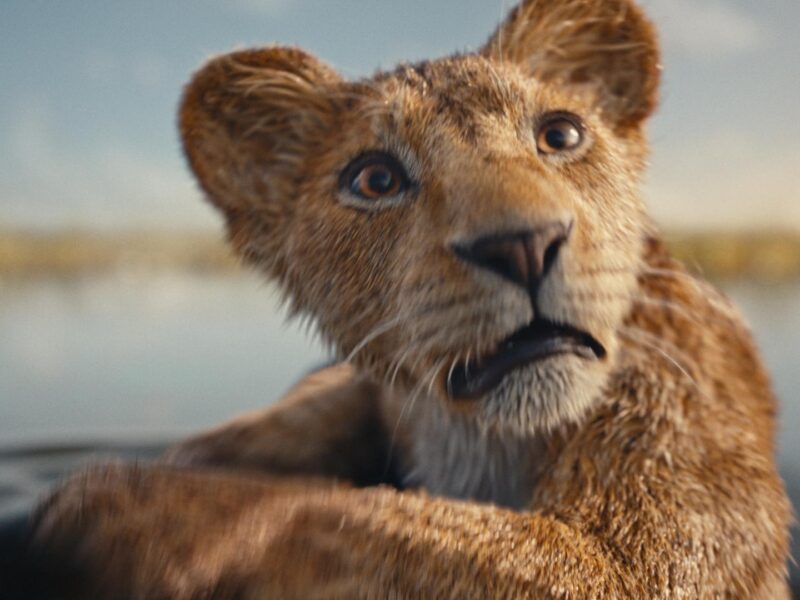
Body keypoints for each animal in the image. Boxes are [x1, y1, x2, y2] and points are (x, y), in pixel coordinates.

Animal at [11, 0, 791, 597]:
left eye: (561, 134)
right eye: (376, 178)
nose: (523, 244)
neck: (480, 441)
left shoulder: (646, 548)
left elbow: (353, 520)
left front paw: (123, 508)